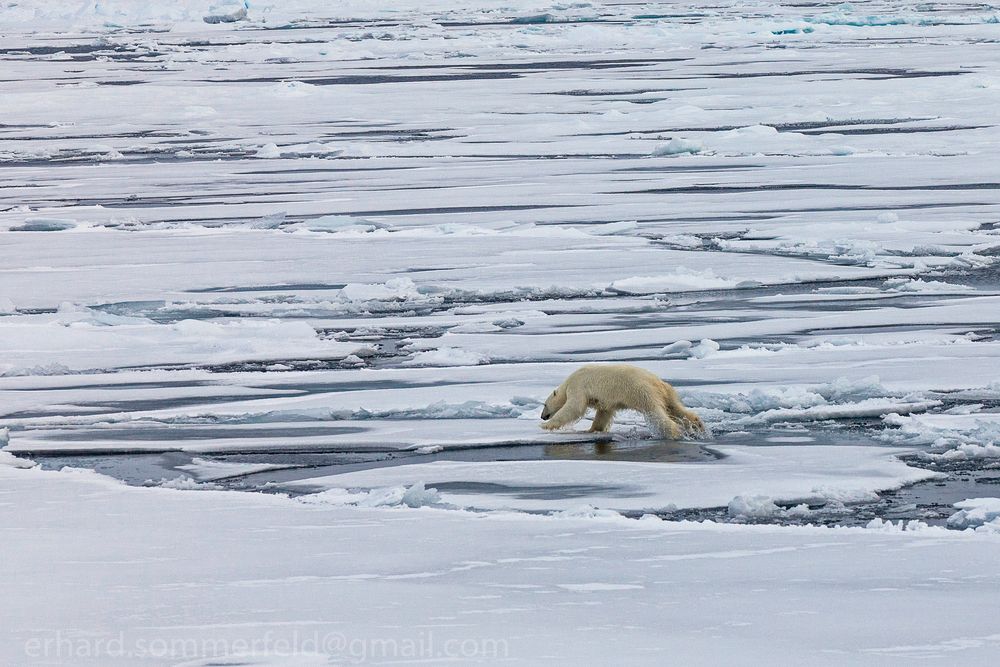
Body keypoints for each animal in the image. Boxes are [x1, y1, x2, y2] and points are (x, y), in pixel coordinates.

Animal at [540, 366, 704, 438]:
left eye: (545, 405)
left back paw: (673, 432)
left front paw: (546, 426)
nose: (542, 416)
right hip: (668, 393)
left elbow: (574, 408)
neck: (567, 383)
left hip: (642, 392)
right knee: (675, 408)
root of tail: (658, 383)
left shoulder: (578, 386)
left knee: (656, 413)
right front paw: (592, 430)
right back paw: (698, 425)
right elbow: (604, 412)